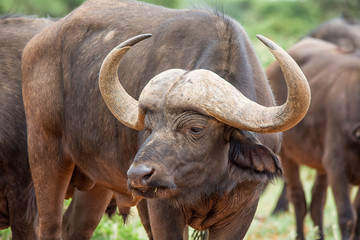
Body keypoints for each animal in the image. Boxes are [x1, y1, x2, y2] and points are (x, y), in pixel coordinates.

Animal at [21, 0, 310, 239]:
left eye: (196, 129)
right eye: (149, 128)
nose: (139, 174)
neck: (210, 181)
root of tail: (36, 44)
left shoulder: (243, 210)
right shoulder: (162, 210)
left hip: (97, 180)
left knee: (76, 226)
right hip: (44, 151)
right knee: (48, 225)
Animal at [266, 37, 360, 240]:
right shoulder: (337, 167)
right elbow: (347, 217)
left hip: (321, 166)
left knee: (317, 203)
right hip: (288, 157)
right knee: (298, 199)